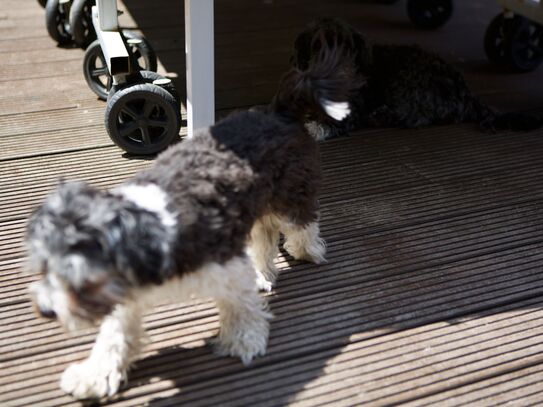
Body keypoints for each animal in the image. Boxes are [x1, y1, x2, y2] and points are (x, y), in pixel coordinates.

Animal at [294, 17, 540, 141]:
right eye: (318, 45)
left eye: (348, 48)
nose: (340, 70)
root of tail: (468, 94)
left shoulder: (349, 113)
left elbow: (326, 124)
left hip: (406, 82)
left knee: (417, 117)